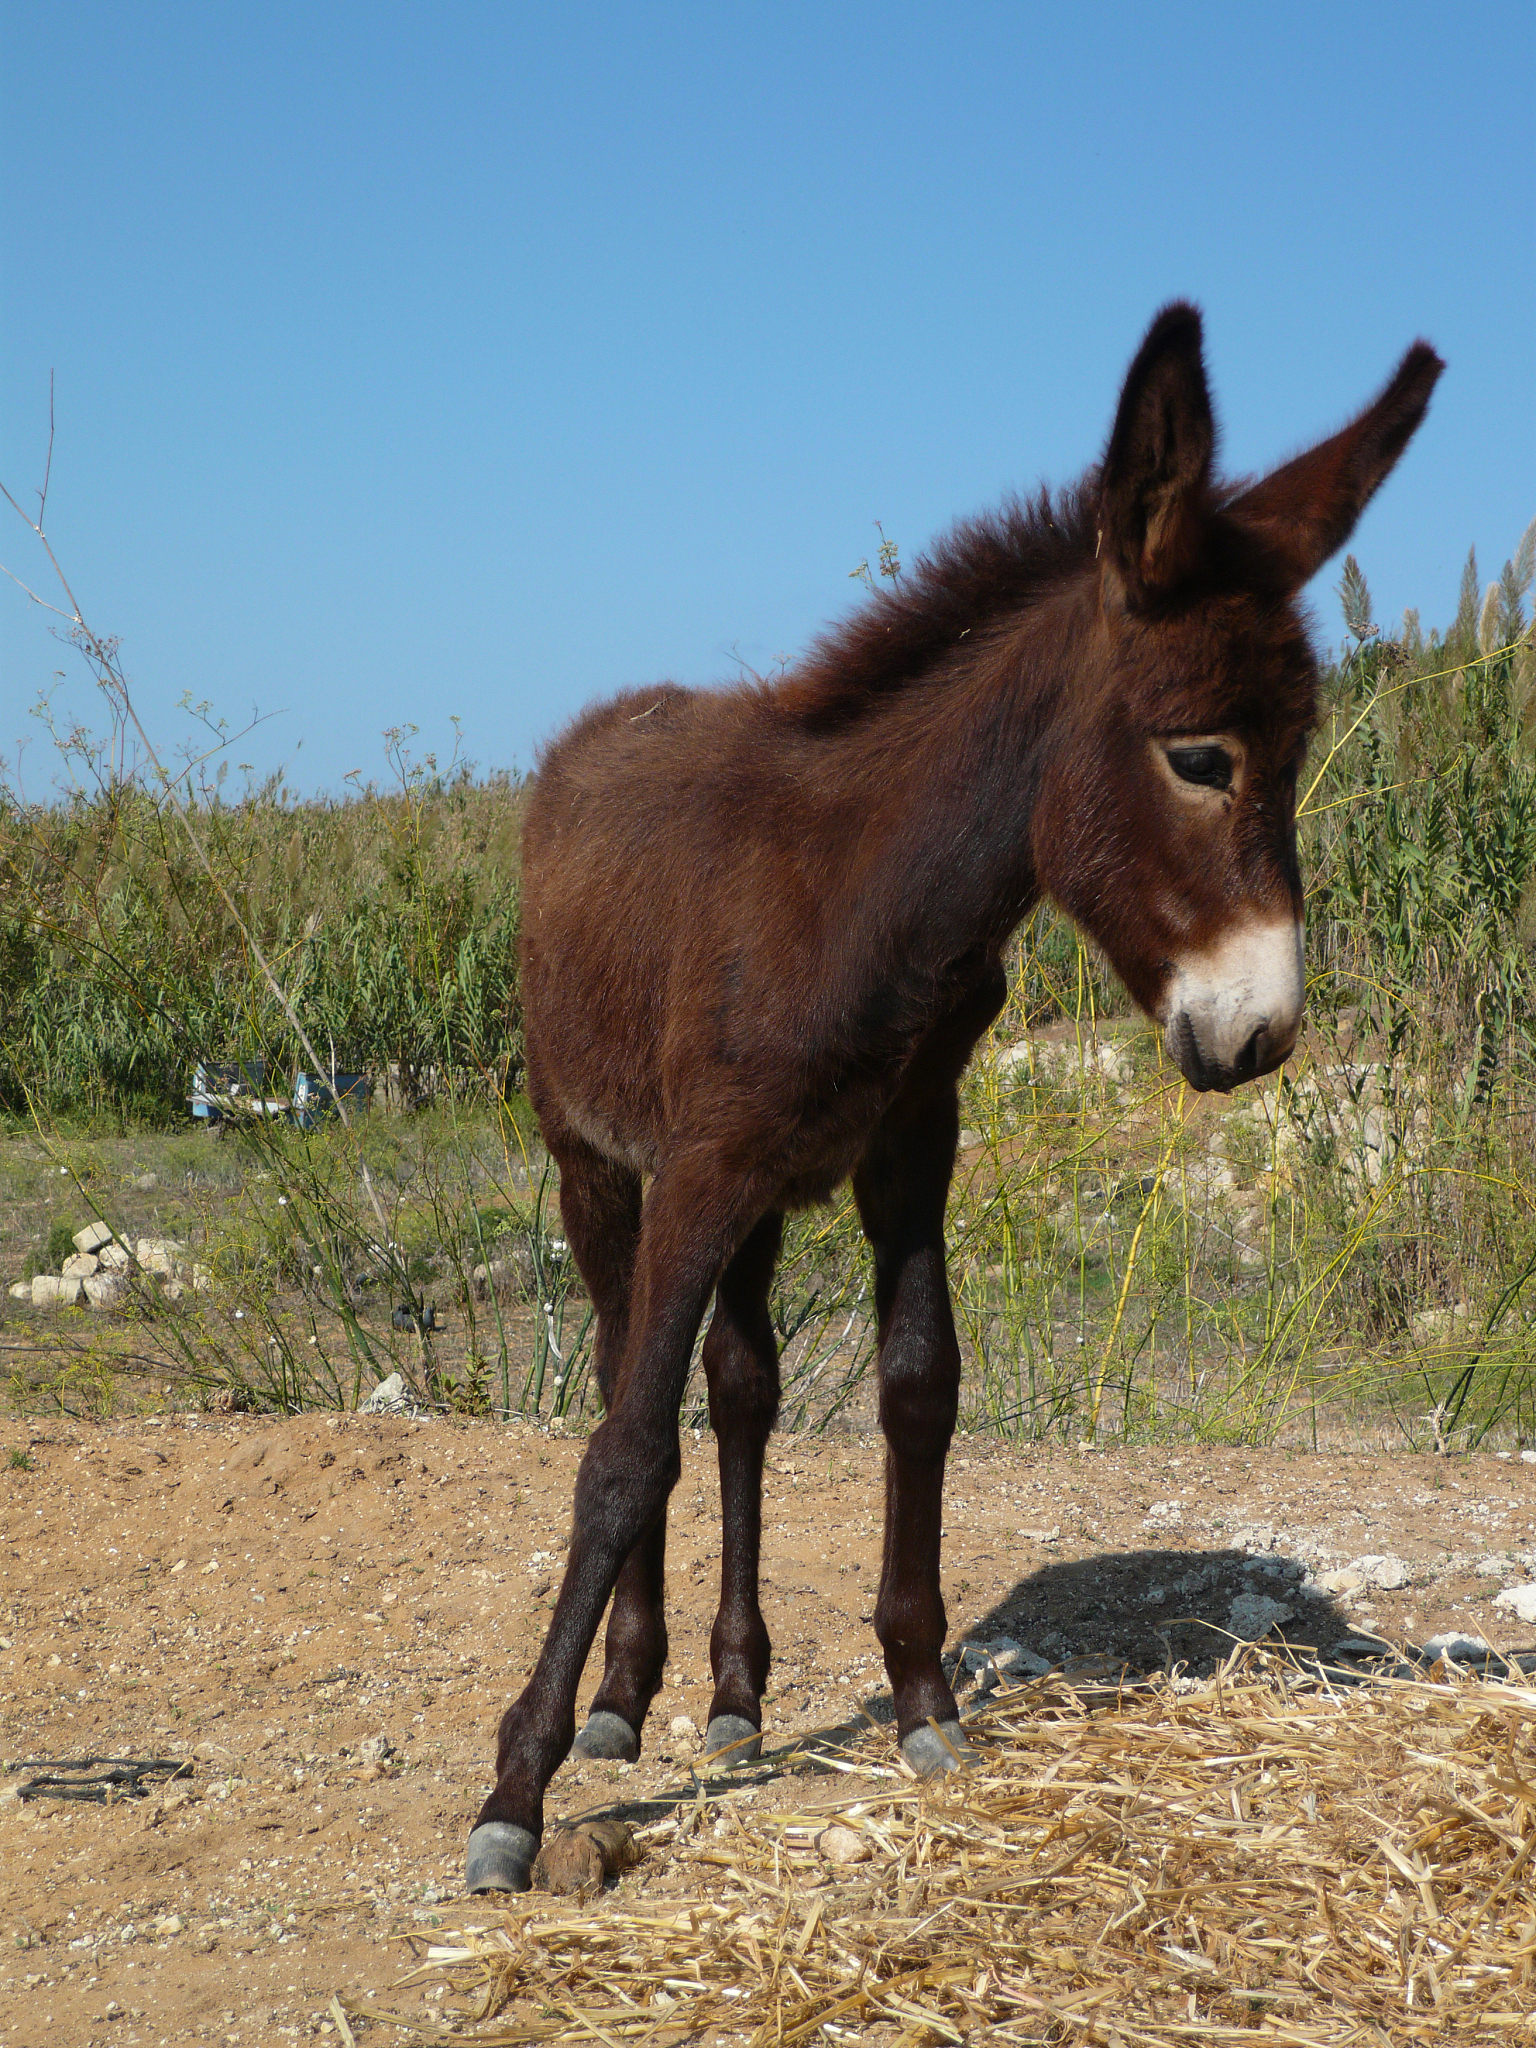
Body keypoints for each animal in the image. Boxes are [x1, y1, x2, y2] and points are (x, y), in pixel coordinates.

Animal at [466, 302, 1441, 1891]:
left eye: (1295, 759)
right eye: (1200, 756)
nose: (1262, 1036)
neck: (862, 896)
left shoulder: (908, 1141)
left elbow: (919, 1390)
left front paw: (923, 1697)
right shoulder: (698, 1169)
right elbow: (621, 1451)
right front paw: (518, 1786)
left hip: (762, 1192)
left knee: (742, 1391)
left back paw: (734, 1692)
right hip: (599, 1164)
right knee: (637, 1379)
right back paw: (626, 1694)